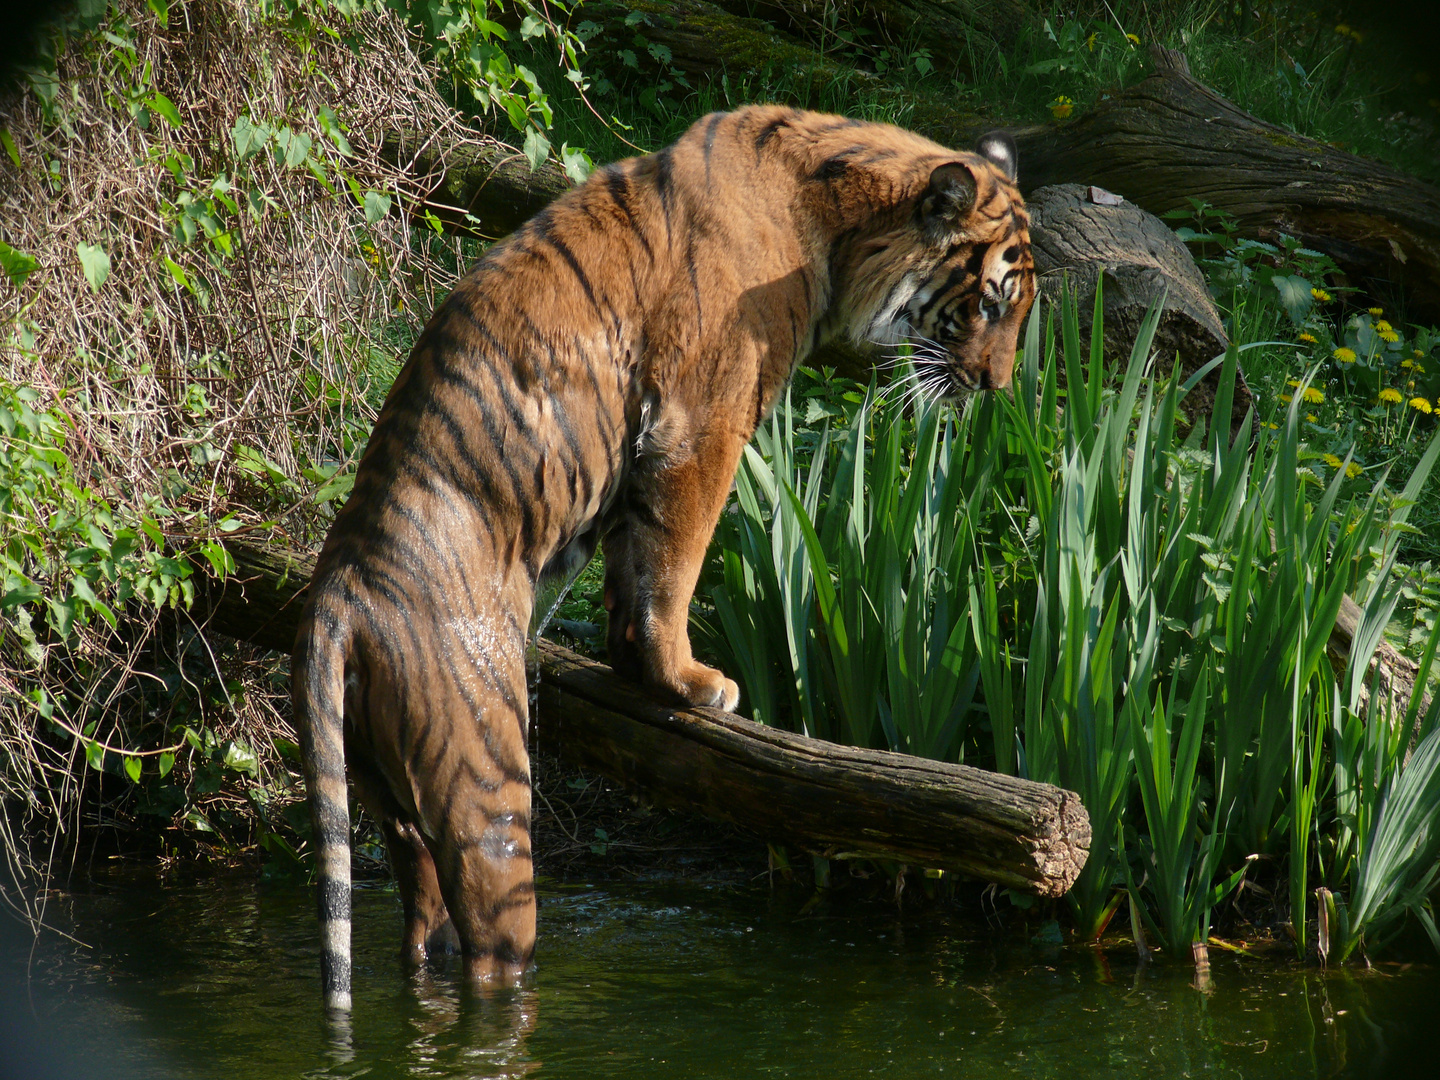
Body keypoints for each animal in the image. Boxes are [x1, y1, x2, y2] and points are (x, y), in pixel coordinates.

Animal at [292, 105, 1036, 1013]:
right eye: (990, 304)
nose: (998, 390)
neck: (838, 219)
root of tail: (340, 588)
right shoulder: (702, 419)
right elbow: (675, 560)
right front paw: (687, 681)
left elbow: (633, 563)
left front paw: (634, 666)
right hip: (486, 781)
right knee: (492, 936)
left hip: (384, 794)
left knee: (418, 922)